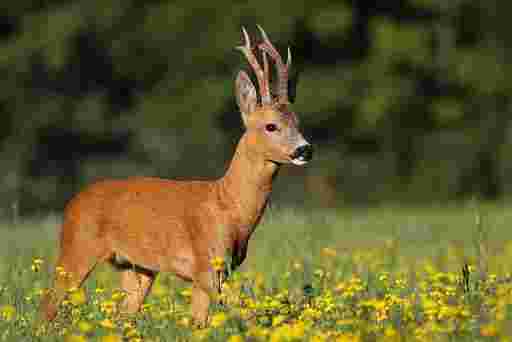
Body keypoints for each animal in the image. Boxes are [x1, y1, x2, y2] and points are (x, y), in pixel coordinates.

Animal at [40, 25, 312, 324]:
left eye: (298, 122)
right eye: (271, 126)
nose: (304, 149)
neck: (229, 207)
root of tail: (72, 204)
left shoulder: (222, 270)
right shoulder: (205, 266)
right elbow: (214, 318)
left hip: (136, 268)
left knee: (123, 316)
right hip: (77, 248)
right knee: (47, 306)